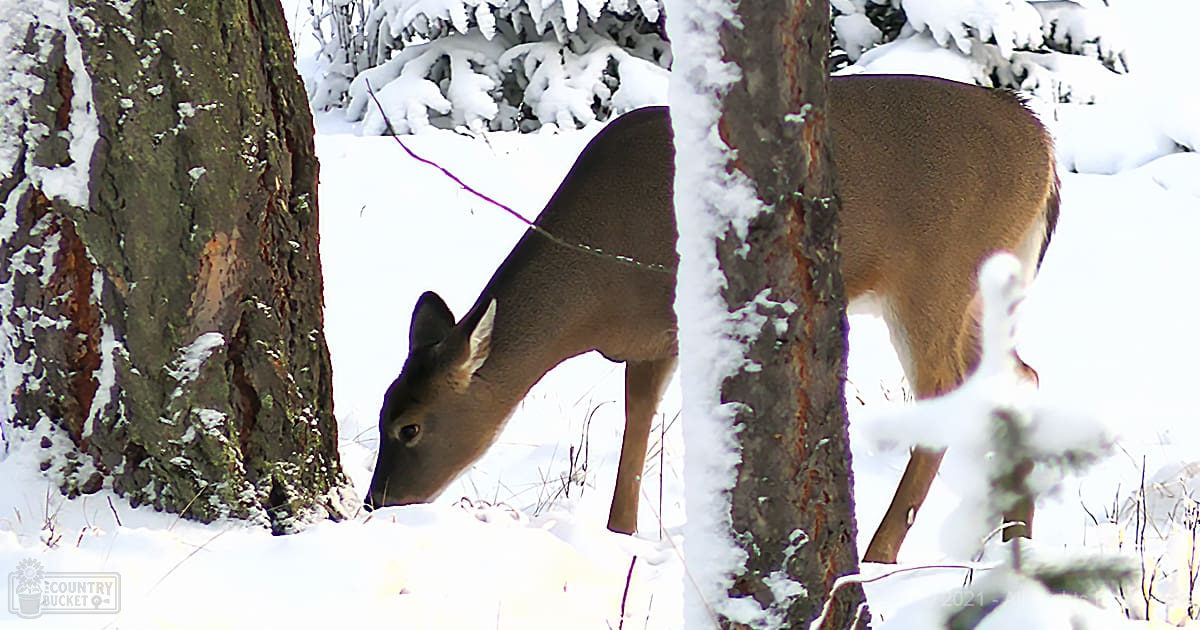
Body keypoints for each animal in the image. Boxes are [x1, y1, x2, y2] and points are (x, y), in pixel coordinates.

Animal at [364, 74, 1060, 564]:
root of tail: (1046, 147)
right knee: (1022, 376)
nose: (376, 504)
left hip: (935, 276)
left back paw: (880, 553)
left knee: (950, 391)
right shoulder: (647, 338)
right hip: (983, 288)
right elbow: (636, 421)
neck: (594, 293)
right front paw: (622, 535)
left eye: (409, 428)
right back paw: (1014, 540)